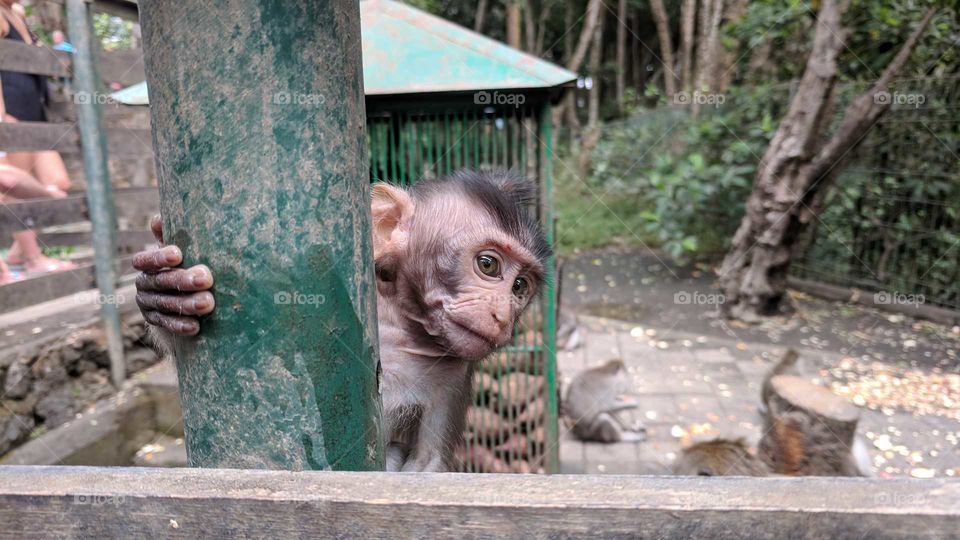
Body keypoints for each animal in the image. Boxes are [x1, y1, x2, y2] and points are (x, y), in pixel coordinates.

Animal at [138, 171, 552, 470]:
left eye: (520, 287)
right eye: (488, 265)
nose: (503, 315)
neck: (404, 325)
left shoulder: (456, 372)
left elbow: (426, 463)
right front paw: (164, 291)